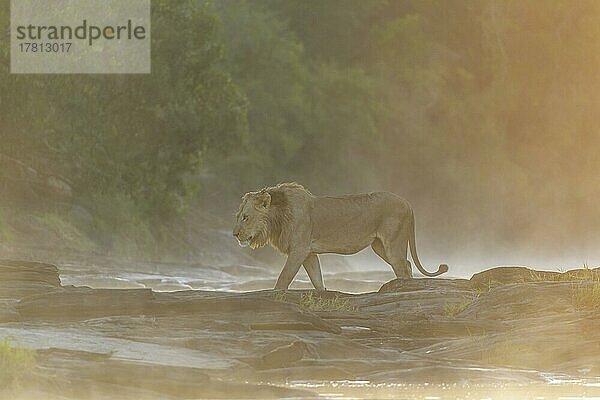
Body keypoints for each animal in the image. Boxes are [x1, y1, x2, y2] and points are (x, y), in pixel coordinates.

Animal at [232, 183, 448, 290]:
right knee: (407, 265)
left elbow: (283, 278)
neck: (278, 216)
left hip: (393, 244)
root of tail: (408, 204)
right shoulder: (309, 253)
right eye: (238, 216)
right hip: (379, 246)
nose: (234, 234)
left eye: (245, 217)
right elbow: (317, 281)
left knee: (403, 266)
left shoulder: (299, 249)